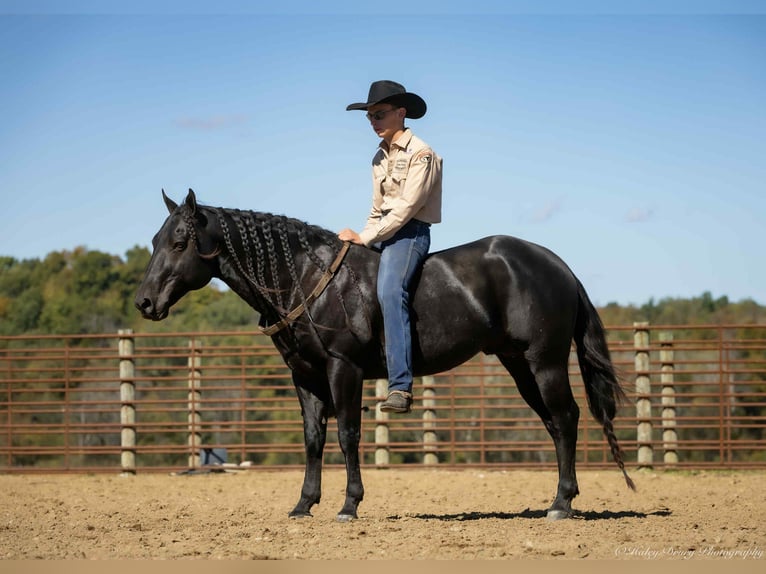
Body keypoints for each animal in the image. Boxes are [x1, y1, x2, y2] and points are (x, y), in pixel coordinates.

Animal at [135, 188, 636, 522]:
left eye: (179, 242)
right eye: (156, 241)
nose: (144, 302)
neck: (306, 277)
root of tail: (558, 265)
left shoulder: (344, 369)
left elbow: (348, 436)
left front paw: (349, 505)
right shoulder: (305, 376)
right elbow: (313, 440)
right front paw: (303, 505)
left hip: (544, 361)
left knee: (566, 418)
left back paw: (561, 504)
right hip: (518, 365)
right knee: (554, 423)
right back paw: (561, 499)